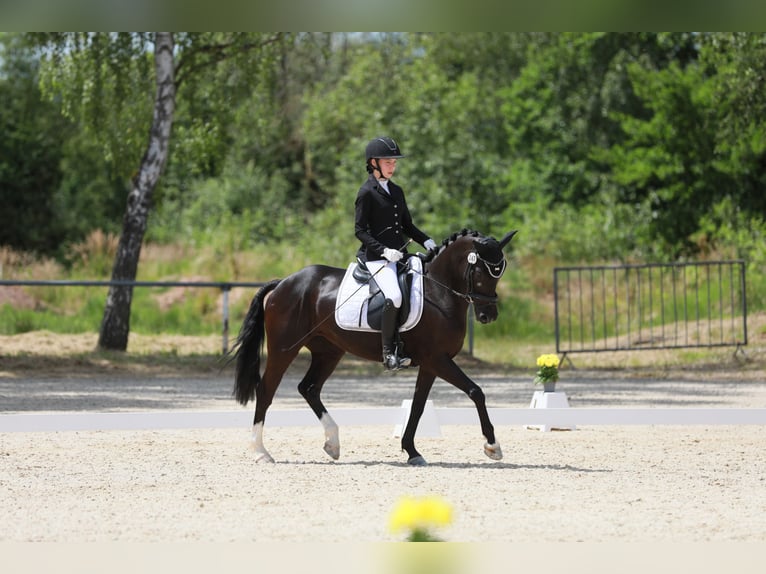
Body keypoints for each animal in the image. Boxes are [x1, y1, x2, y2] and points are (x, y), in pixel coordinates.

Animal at [231, 227, 520, 466]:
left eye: (501, 271)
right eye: (481, 272)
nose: (488, 316)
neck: (439, 292)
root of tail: (283, 282)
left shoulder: (430, 364)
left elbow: (418, 406)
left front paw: (412, 452)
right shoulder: (437, 359)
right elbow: (476, 391)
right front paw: (492, 446)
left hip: (328, 351)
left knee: (309, 388)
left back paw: (333, 444)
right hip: (284, 348)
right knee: (265, 390)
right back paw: (261, 453)